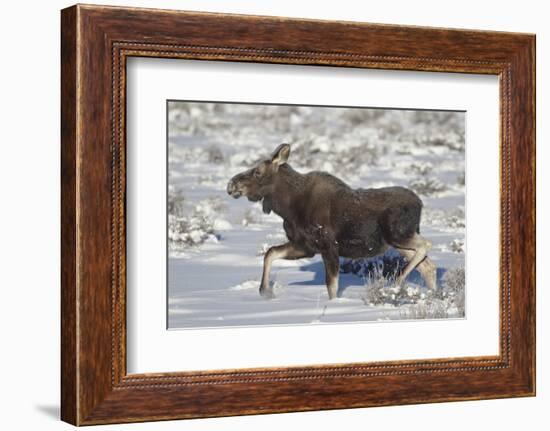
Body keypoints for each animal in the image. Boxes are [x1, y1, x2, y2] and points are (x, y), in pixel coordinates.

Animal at [226, 145, 438, 300]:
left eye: (258, 171)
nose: (231, 185)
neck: (288, 207)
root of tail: (420, 203)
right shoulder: (305, 246)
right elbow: (270, 253)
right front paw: (265, 291)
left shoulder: (328, 246)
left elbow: (332, 287)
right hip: (398, 242)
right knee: (428, 266)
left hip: (398, 234)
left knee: (427, 245)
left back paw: (397, 281)